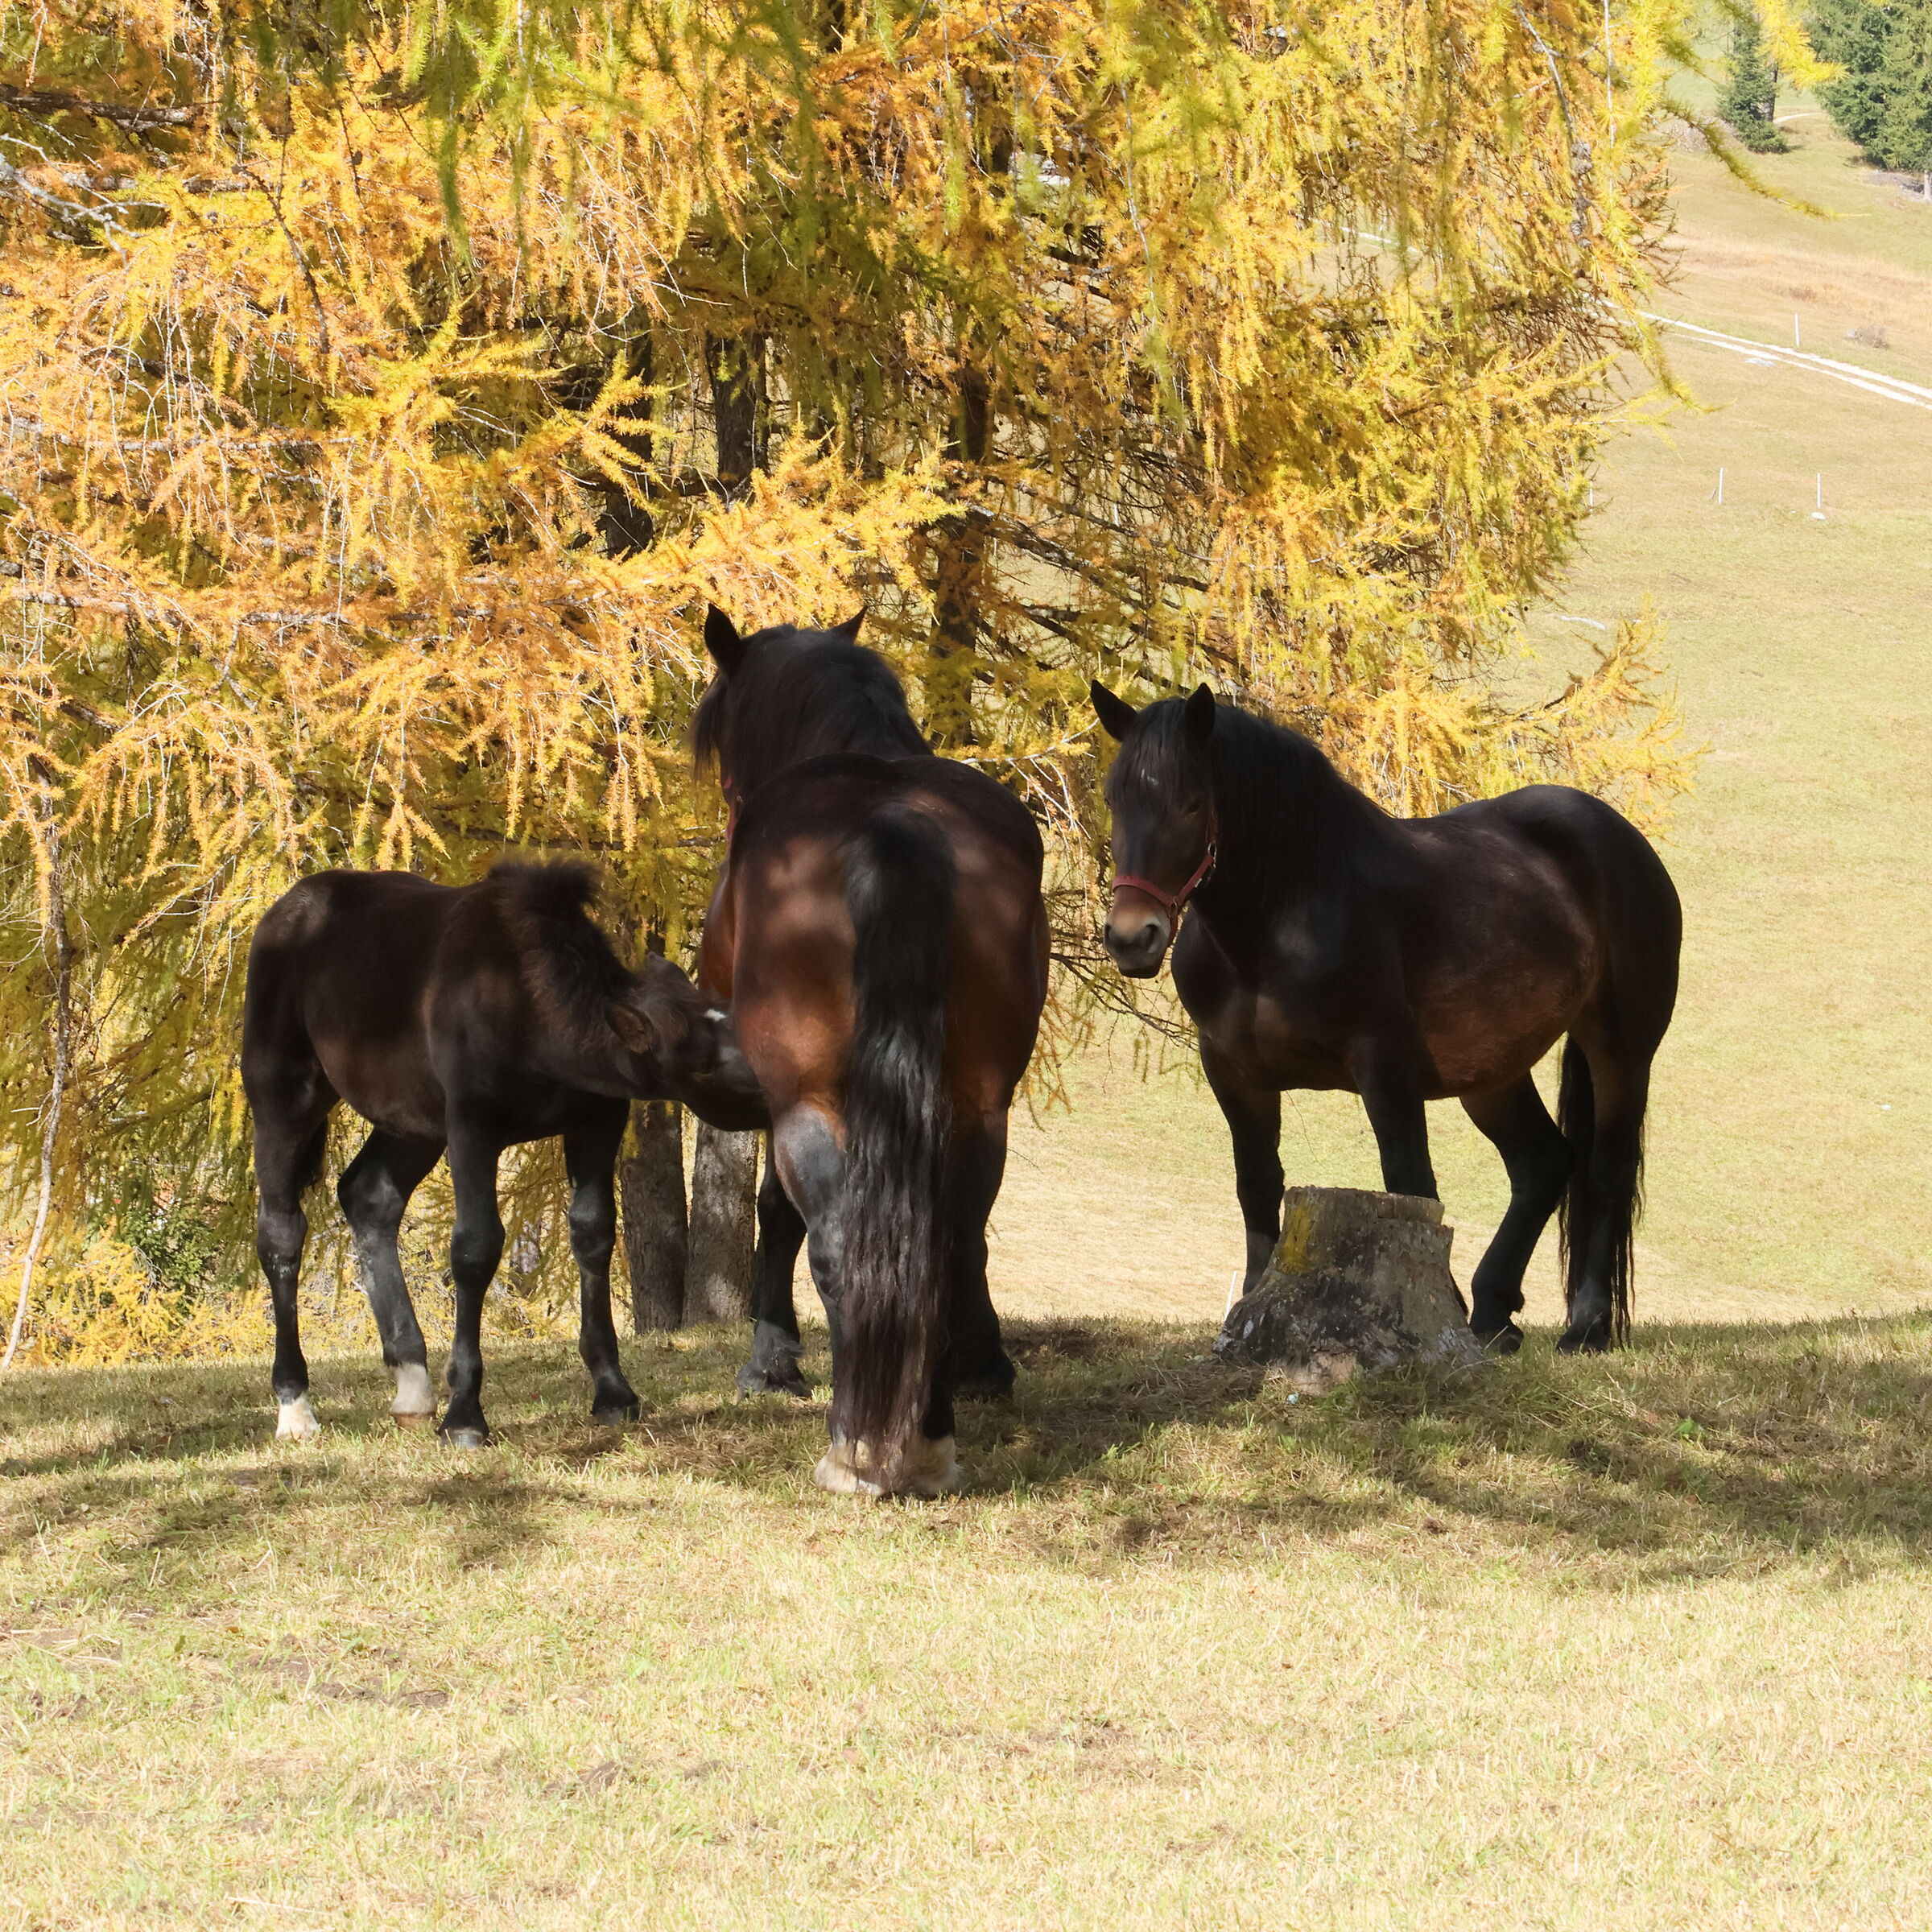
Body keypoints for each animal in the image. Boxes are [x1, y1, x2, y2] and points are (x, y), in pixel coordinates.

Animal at [241, 861, 758, 1446]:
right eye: (704, 1065)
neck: (528, 1011)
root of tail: (281, 912)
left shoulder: (597, 1122)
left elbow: (594, 1235)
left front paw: (613, 1391)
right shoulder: (472, 1125)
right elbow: (475, 1247)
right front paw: (465, 1413)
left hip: (412, 1122)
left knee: (369, 1197)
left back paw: (413, 1386)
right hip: (284, 1096)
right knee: (281, 1231)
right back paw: (295, 1405)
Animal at [692, 607, 1049, 1496]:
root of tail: (896, 827)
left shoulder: (771, 1092)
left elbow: (777, 1212)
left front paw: (771, 1361)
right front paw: (986, 1365)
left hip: (808, 1103)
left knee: (835, 1240)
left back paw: (859, 1444)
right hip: (976, 1105)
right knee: (953, 1240)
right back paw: (929, 1431)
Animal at [1089, 682, 1682, 1353]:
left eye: (1192, 803)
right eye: (1114, 798)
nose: (1132, 937)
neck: (1283, 918)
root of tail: (1617, 836)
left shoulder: (1384, 1064)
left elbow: (1411, 1183)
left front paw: (1427, 1312)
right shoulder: (1233, 1072)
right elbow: (1258, 1185)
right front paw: (1250, 1308)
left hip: (1621, 1050)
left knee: (1605, 1170)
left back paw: (1586, 1326)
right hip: (1493, 1073)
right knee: (1543, 1165)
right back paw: (1493, 1313)